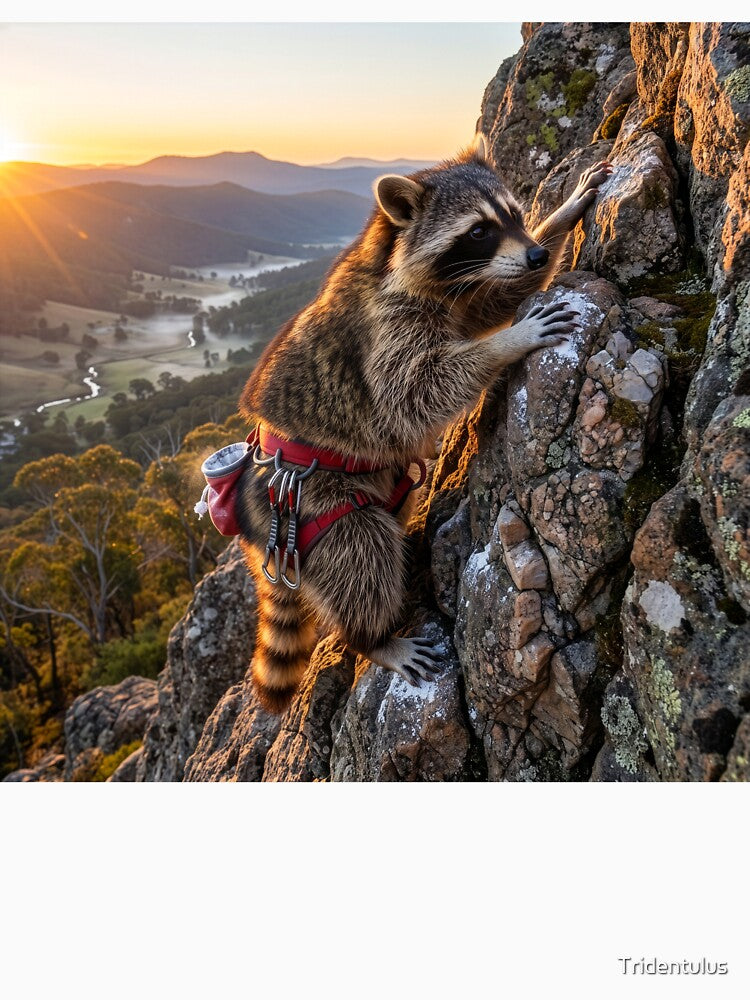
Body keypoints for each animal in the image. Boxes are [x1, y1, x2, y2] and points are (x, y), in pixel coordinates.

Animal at [235, 135, 612, 713]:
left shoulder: (462, 292)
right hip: (312, 503)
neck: (392, 260)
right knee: (361, 551)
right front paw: (509, 341)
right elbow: (412, 395)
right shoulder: (385, 328)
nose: (535, 254)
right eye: (478, 230)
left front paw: (561, 215)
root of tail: (254, 522)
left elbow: (492, 301)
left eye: (514, 215)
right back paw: (371, 639)